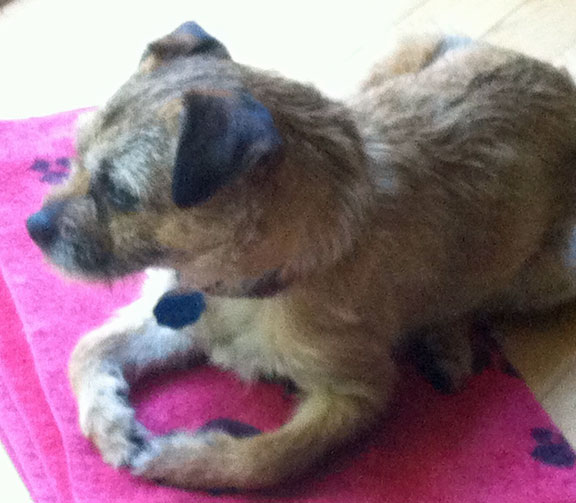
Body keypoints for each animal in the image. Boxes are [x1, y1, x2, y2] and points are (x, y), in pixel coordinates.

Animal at [26, 22, 576, 490]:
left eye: (121, 194)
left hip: (555, 268)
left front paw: (181, 460)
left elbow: (271, 458)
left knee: (482, 297)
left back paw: (448, 343)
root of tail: (562, 83)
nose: (33, 228)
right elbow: (87, 348)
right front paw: (109, 420)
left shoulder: (356, 394)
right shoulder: (181, 317)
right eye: (76, 154)